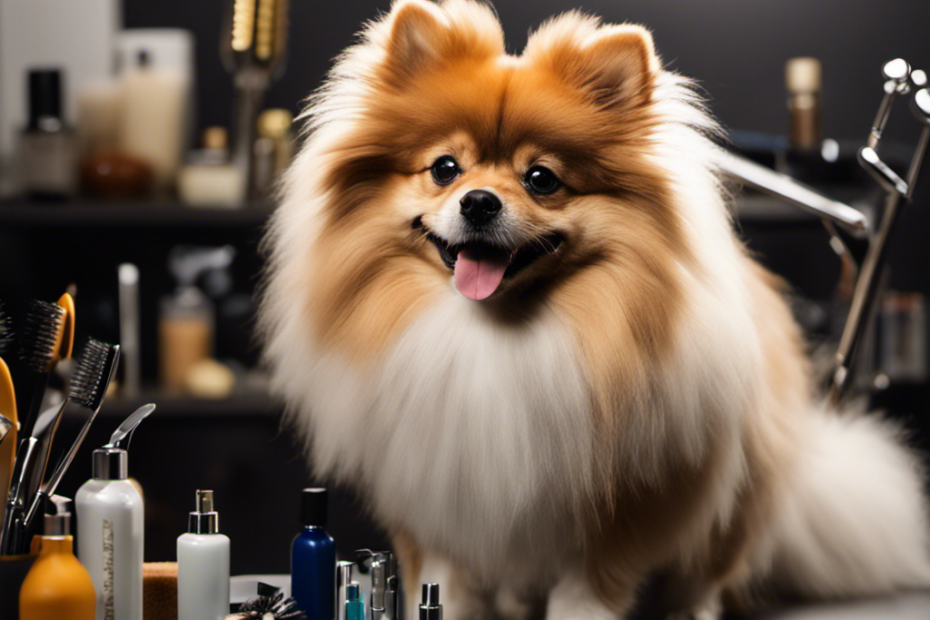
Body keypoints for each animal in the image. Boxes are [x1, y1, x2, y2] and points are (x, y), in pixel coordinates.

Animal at [260, 1, 928, 620]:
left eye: (541, 178)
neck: (491, 331)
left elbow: (588, 588)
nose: (479, 201)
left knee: (708, 571)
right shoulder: (438, 493)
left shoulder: (624, 509)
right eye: (445, 169)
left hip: (737, 491)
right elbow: (447, 581)